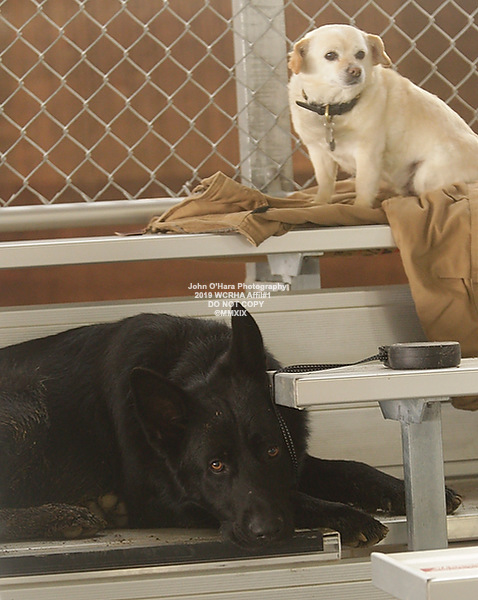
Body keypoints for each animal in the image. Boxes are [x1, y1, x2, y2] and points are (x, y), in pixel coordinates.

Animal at [0, 305, 461, 548]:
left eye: (271, 451)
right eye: (215, 466)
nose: (266, 533)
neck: (193, 360)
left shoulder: (294, 456)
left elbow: (345, 468)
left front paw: (402, 489)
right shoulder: (175, 502)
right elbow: (295, 495)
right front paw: (343, 514)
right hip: (29, 411)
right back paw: (60, 517)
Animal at [288, 24, 478, 207]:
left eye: (360, 54)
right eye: (330, 55)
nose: (356, 70)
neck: (333, 107)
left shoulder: (368, 154)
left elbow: (363, 186)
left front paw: (359, 208)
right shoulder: (318, 152)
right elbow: (325, 183)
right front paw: (319, 203)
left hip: (425, 175)